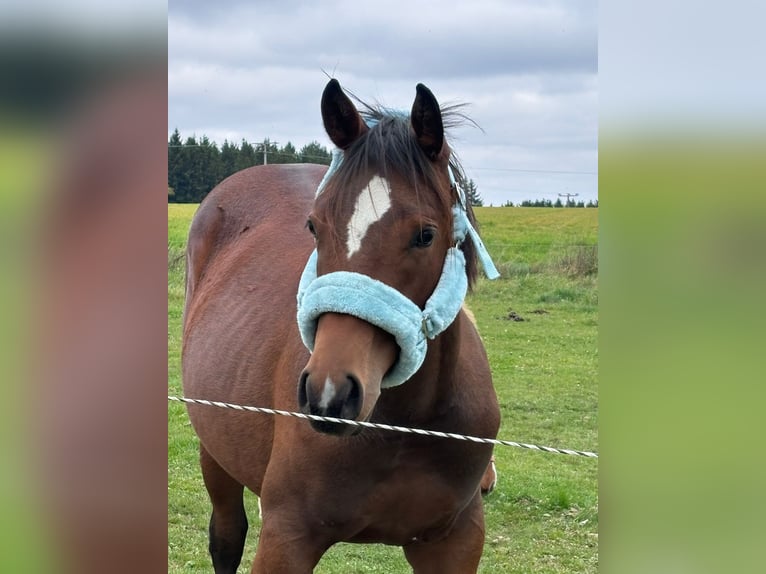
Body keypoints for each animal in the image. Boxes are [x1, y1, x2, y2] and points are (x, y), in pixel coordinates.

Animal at [182, 78, 501, 573]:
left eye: (425, 235)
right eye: (315, 227)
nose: (329, 394)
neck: (408, 427)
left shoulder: (455, 542)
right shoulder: (287, 538)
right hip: (215, 453)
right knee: (226, 537)